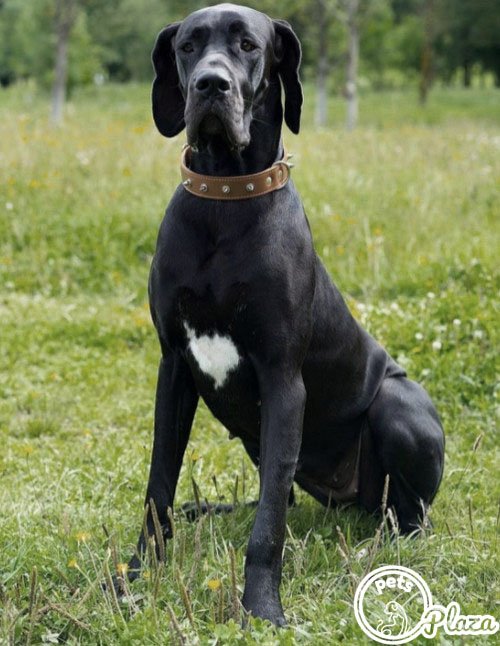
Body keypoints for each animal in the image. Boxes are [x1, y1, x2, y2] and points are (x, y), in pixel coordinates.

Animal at [125, 3, 446, 628]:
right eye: (187, 46)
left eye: (249, 45)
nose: (210, 85)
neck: (224, 198)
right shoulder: (173, 368)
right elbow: (159, 486)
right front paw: (129, 582)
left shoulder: (282, 381)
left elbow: (268, 524)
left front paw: (261, 607)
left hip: (398, 406)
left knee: (407, 521)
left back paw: (374, 552)